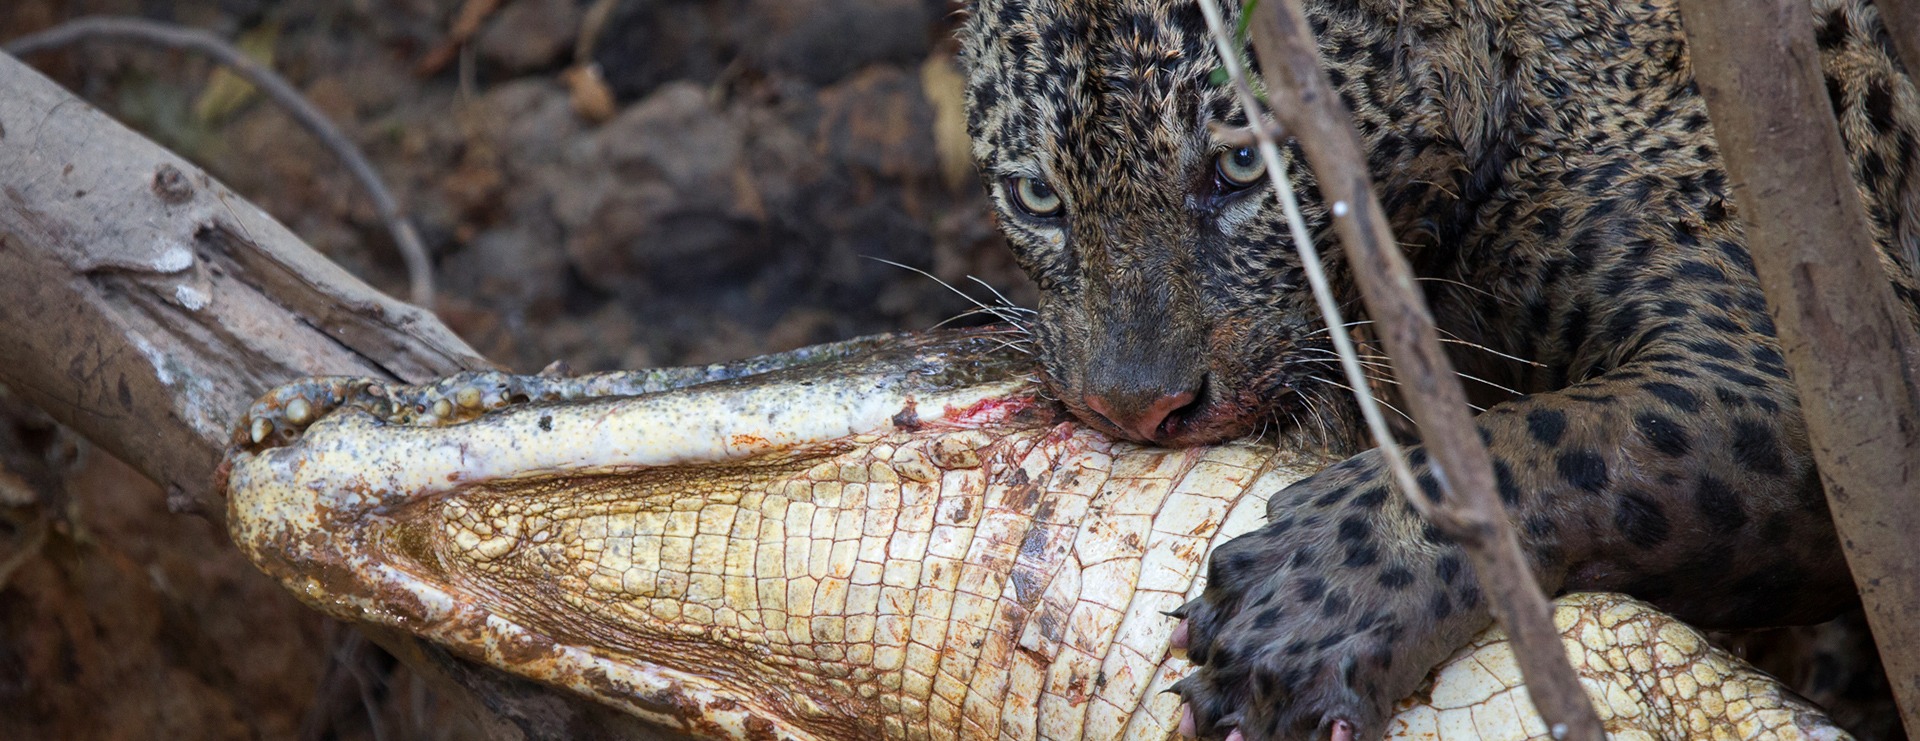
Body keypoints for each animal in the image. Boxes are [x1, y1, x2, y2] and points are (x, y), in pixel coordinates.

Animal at [956, 0, 1920, 738]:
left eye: (1241, 165)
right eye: (1035, 197)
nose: (1134, 409)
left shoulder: (1811, 360)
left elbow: (1558, 437)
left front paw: (1302, 611)